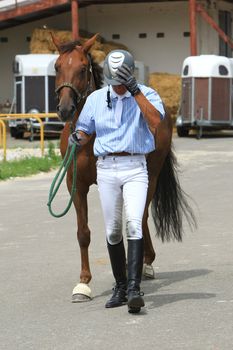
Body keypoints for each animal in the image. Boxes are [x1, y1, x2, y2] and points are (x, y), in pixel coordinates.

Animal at [52, 34, 196, 302]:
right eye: (57, 66)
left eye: (82, 68)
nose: (65, 109)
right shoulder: (74, 184)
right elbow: (83, 233)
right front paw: (83, 284)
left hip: (152, 174)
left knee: (142, 215)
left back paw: (145, 263)